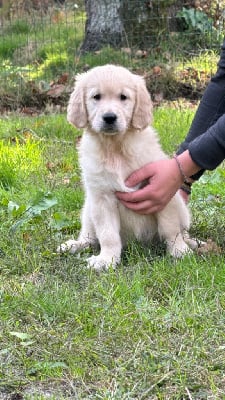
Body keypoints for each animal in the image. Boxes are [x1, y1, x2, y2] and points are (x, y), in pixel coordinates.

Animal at [58, 65, 193, 272]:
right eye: (96, 97)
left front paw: (179, 250)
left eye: (123, 97)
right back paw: (74, 245)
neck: (116, 148)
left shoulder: (163, 193)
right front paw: (107, 259)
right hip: (88, 210)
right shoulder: (101, 198)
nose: (109, 117)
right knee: (90, 237)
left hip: (181, 208)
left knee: (181, 229)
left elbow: (170, 227)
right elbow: (108, 235)